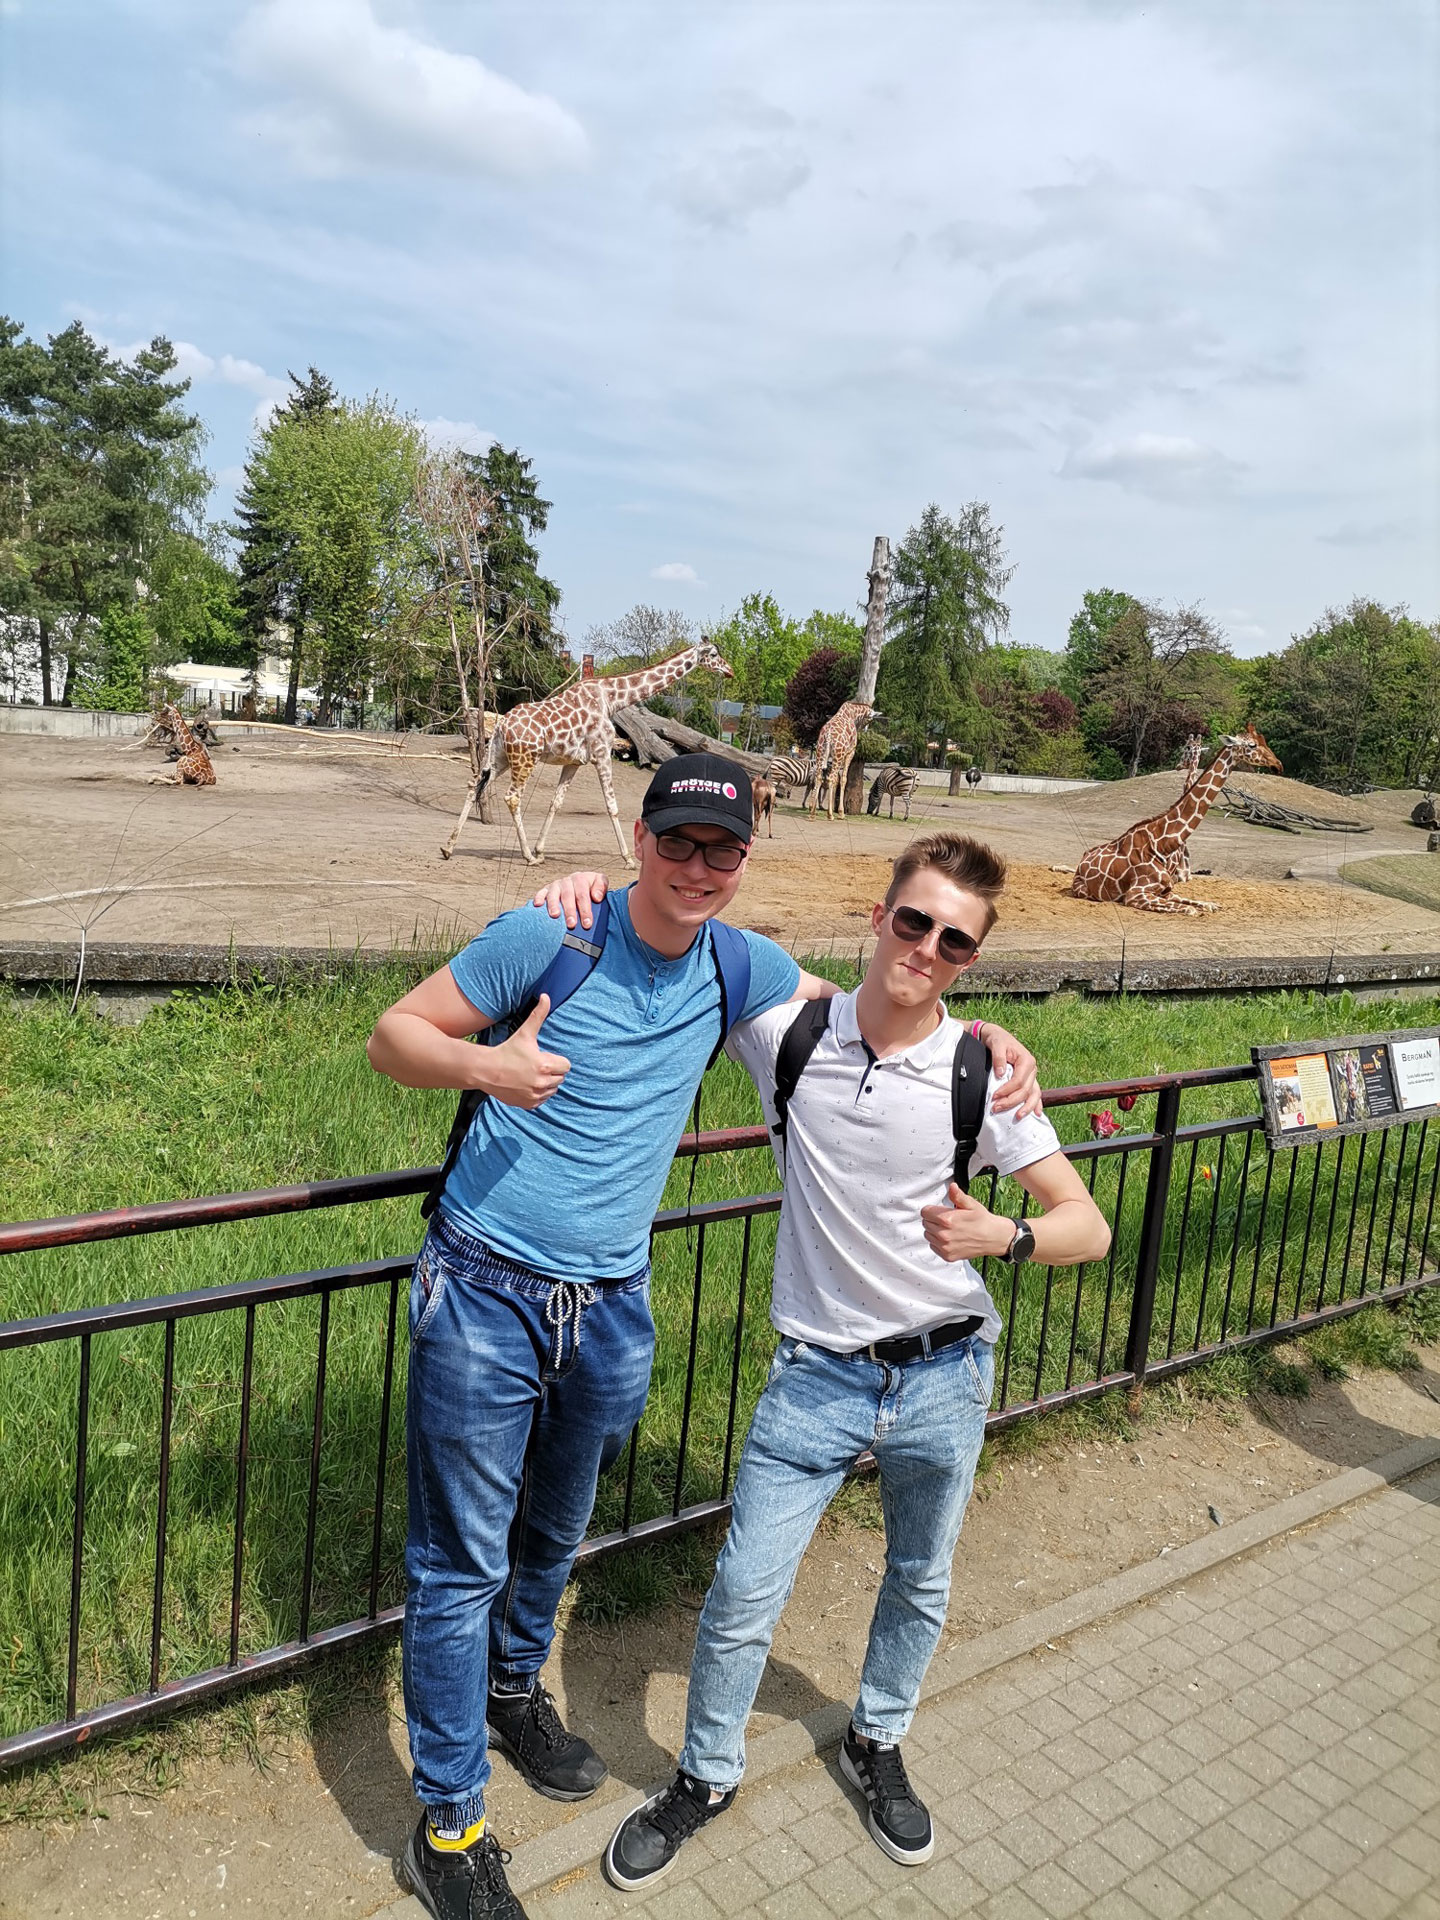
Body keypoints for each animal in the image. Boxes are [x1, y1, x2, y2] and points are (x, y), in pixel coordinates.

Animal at [440, 642, 734, 865]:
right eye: (714, 654)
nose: (730, 670)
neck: (612, 698)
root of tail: (501, 725)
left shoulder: (574, 762)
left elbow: (556, 803)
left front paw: (541, 850)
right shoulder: (602, 752)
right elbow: (612, 805)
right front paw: (628, 858)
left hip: (498, 757)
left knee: (473, 784)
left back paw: (449, 847)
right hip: (525, 759)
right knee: (512, 797)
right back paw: (526, 857)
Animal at [1070, 725, 1282, 914]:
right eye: (1252, 745)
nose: (1278, 765)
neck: (1162, 843)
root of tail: (1081, 861)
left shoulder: (1168, 891)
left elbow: (1205, 904)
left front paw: (1212, 905)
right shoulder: (1135, 895)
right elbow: (1191, 910)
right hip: (1083, 889)